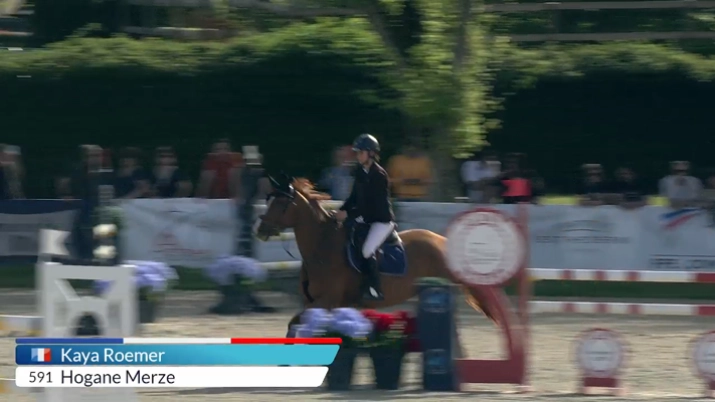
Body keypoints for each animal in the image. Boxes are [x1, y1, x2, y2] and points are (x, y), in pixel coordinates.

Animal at [253, 174, 506, 333]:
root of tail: (442, 241)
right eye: (269, 200)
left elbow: (295, 323)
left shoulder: (327, 301)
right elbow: (295, 326)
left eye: (281, 204)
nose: (261, 230)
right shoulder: (318, 302)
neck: (321, 246)